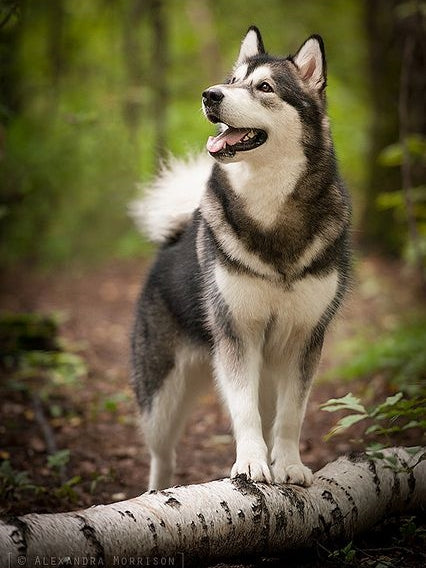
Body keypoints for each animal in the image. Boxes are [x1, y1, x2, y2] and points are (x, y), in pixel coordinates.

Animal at [130, 26, 350, 490]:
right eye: (232, 80)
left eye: (264, 87)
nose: (210, 94)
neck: (269, 207)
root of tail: (175, 236)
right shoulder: (237, 335)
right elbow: (243, 411)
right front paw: (250, 463)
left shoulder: (305, 338)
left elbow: (291, 415)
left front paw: (289, 464)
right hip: (161, 398)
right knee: (162, 453)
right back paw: (160, 491)